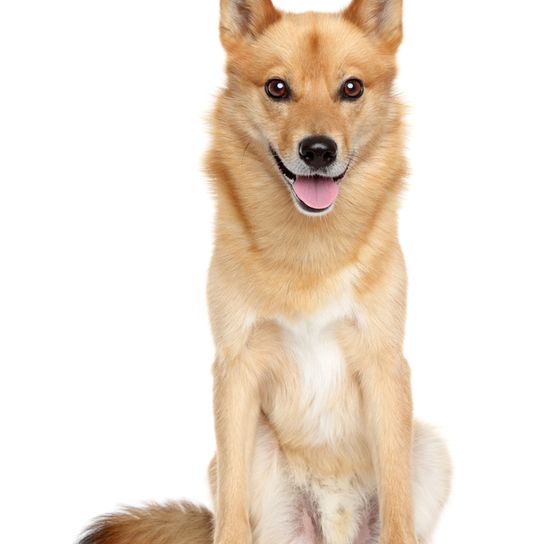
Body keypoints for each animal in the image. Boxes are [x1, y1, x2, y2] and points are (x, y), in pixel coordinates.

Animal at [79, 1, 450, 544]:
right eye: (277, 87)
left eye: (352, 88)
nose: (318, 150)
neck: (309, 245)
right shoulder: (237, 369)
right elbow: (232, 506)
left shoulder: (384, 364)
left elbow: (397, 502)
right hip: (249, 457)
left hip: (429, 447)